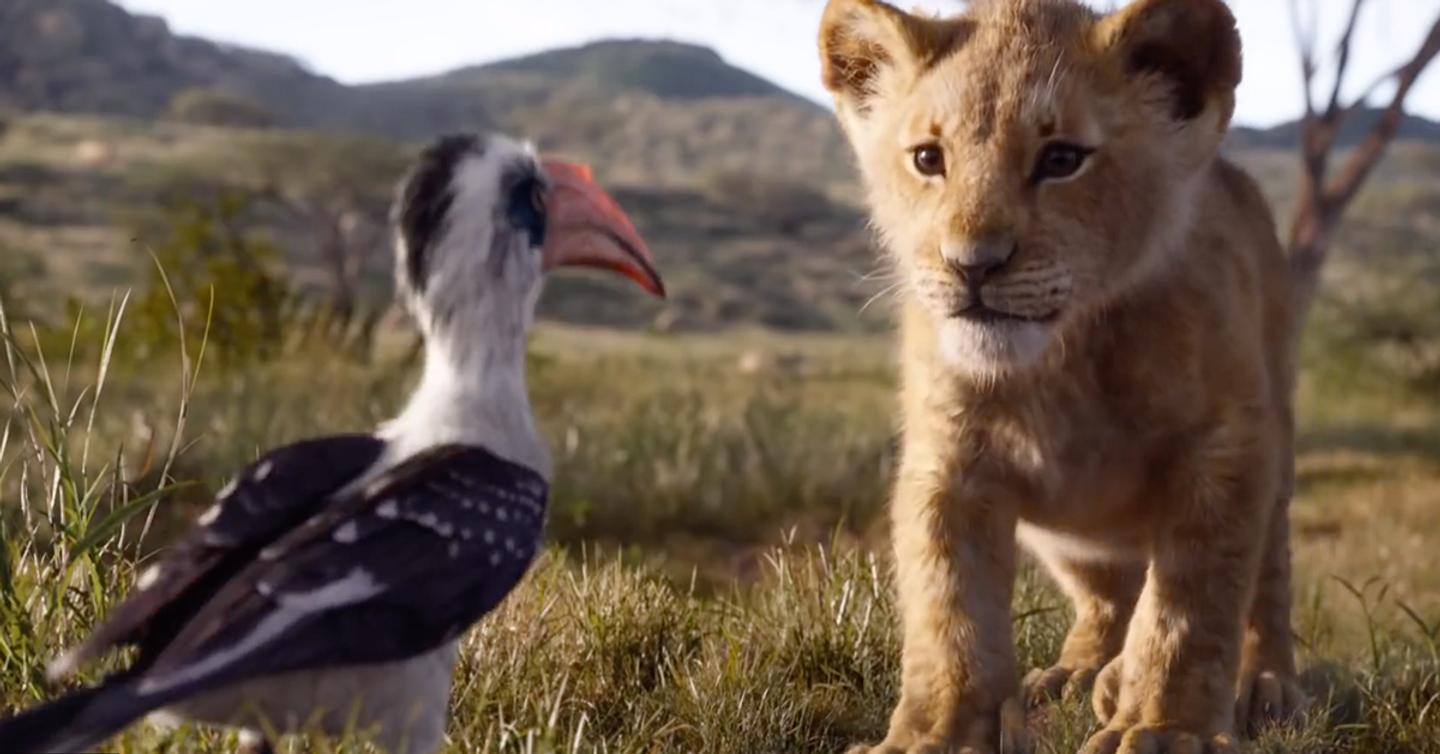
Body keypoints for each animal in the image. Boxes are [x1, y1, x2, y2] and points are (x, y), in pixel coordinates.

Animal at [817, 0, 1306, 752]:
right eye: (928, 159)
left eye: (1061, 159)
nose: (973, 264)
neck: (1061, 361)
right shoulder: (948, 462)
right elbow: (949, 611)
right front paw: (935, 733)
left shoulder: (1223, 449)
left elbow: (1191, 605)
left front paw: (1163, 728)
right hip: (1070, 537)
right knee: (1107, 595)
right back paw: (1082, 673)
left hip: (1275, 439)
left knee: (1267, 583)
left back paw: (1264, 685)